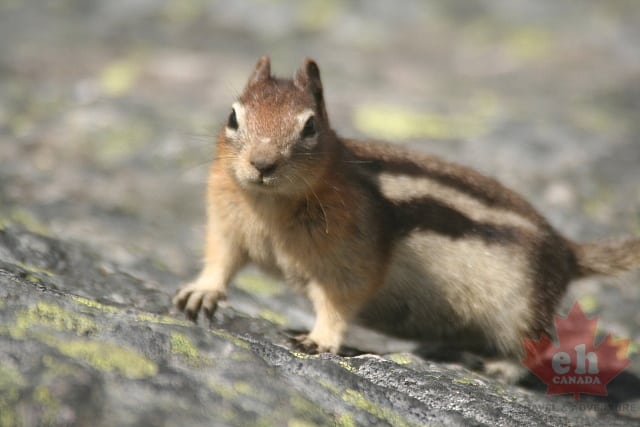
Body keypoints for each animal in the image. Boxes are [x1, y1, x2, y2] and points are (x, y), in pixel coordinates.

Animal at [173, 56, 640, 371]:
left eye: (310, 128)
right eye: (233, 117)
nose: (263, 164)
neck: (270, 206)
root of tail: (566, 250)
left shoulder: (352, 257)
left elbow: (340, 300)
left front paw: (319, 338)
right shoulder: (227, 224)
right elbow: (222, 259)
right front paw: (201, 291)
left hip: (520, 309)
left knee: (535, 347)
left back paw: (502, 367)